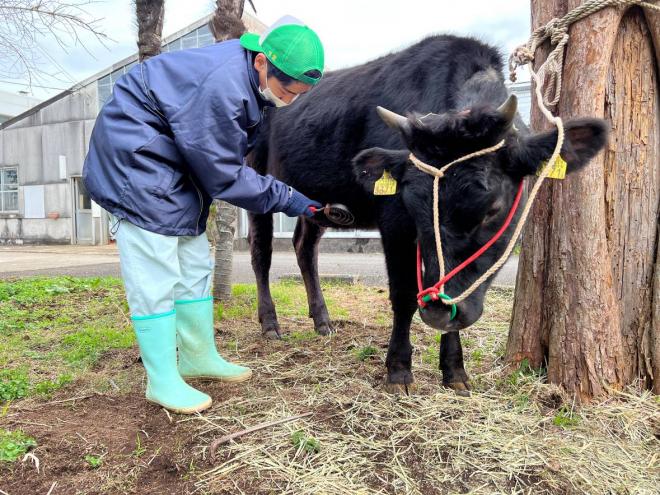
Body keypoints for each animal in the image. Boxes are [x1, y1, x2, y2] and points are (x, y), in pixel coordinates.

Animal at [249, 35, 608, 396]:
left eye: (492, 208)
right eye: (412, 203)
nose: (436, 311)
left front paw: (455, 371)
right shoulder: (394, 220)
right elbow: (404, 292)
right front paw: (398, 370)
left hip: (315, 202)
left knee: (304, 247)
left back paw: (322, 320)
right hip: (256, 178)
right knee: (261, 254)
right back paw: (270, 323)